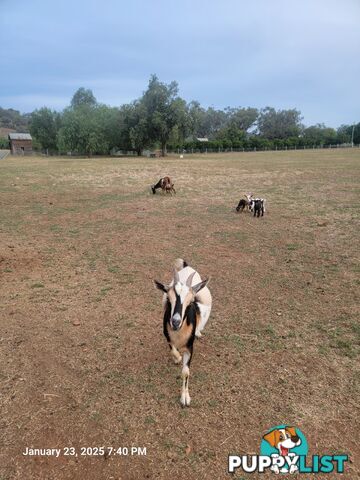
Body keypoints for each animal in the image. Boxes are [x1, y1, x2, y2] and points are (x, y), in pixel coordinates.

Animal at [154, 258, 211, 404]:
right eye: (169, 299)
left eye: (190, 302)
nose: (175, 322)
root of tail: (187, 266)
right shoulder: (168, 336)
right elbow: (173, 350)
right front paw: (177, 358)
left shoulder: (190, 347)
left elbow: (185, 372)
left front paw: (185, 397)